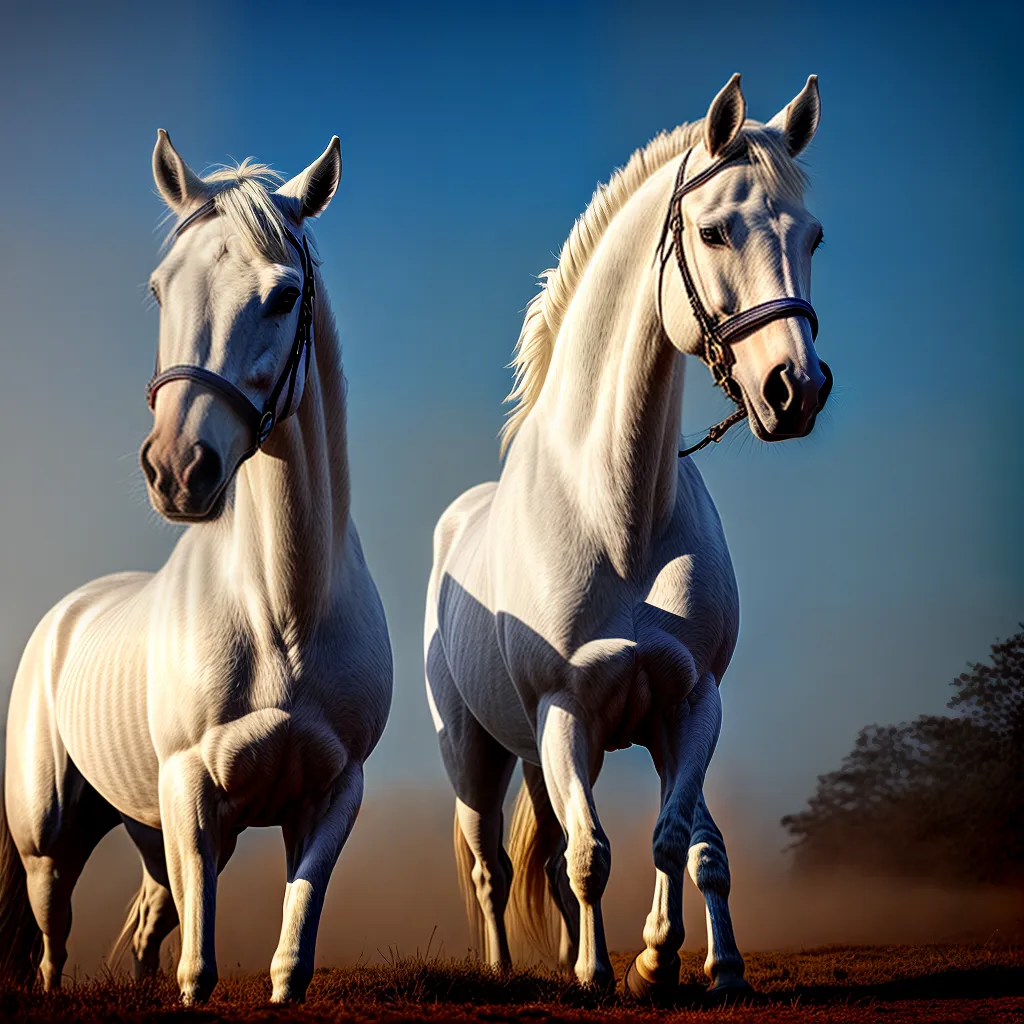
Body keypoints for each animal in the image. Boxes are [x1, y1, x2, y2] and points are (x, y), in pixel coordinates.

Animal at [0, 132, 393, 1004]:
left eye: (284, 297)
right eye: (159, 288)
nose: (178, 469)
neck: (283, 611)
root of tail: (63, 617)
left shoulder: (331, 793)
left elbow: (291, 943)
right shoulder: (190, 787)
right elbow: (199, 965)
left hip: (148, 826)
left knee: (148, 920)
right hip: (52, 838)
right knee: (52, 940)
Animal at [425, 74, 829, 999]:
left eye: (813, 236)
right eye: (714, 230)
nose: (795, 389)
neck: (619, 518)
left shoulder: (689, 706)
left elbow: (677, 842)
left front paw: (660, 960)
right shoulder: (567, 710)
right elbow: (589, 857)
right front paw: (600, 972)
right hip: (478, 754)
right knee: (493, 868)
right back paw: (507, 969)